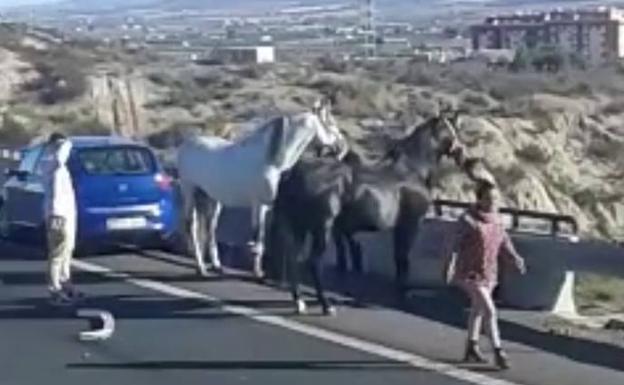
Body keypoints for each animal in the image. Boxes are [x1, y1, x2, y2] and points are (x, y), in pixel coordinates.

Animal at [178, 97, 348, 278]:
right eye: (330, 122)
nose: (342, 145)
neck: (272, 161)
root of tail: (186, 144)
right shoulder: (258, 205)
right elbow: (258, 237)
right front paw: (258, 272)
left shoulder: (268, 208)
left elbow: (265, 238)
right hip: (190, 192)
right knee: (191, 226)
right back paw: (201, 267)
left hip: (213, 199)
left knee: (210, 227)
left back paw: (217, 265)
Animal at [268, 111, 478, 316]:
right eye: (450, 129)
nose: (463, 154)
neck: (412, 170)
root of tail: (293, 174)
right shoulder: (410, 224)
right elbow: (403, 259)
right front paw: (403, 294)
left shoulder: (398, 227)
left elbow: (398, 258)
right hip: (322, 228)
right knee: (313, 262)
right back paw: (326, 306)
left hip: (299, 226)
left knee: (294, 259)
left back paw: (300, 302)